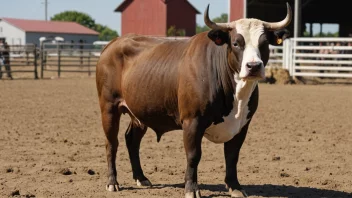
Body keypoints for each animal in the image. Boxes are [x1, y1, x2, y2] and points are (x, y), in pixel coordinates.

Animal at [95, 3, 292, 198]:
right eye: (236, 43)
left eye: (264, 43)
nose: (253, 66)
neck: (236, 96)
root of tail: (112, 44)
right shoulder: (192, 121)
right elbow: (193, 155)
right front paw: (191, 188)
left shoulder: (243, 125)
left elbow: (232, 156)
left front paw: (235, 186)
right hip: (109, 107)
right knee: (111, 143)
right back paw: (112, 182)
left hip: (140, 112)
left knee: (132, 140)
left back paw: (141, 178)